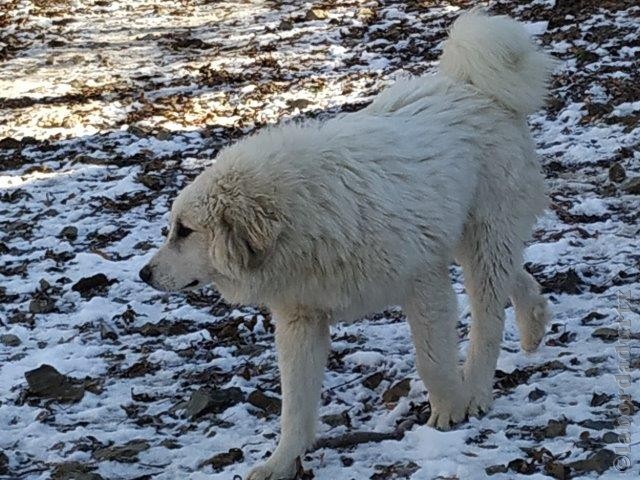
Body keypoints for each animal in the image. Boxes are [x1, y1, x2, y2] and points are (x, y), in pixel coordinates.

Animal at [140, 10, 556, 480]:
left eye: (184, 230)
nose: (144, 273)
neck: (303, 216)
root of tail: (473, 86)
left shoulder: (423, 283)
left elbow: (432, 362)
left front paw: (450, 409)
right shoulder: (300, 320)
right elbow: (295, 404)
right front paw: (280, 462)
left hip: (484, 238)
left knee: (488, 318)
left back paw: (478, 390)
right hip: (472, 240)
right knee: (514, 278)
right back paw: (534, 324)